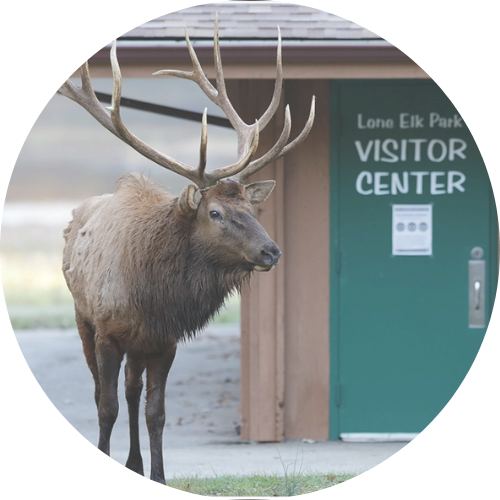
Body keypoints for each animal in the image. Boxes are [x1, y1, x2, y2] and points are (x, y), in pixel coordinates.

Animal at [59, 16, 315, 485]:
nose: (271, 252)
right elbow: (105, 408)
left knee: (133, 391)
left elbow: (156, 413)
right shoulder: (106, 330)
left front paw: (159, 474)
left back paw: (136, 462)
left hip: (138, 345)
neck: (149, 293)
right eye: (215, 212)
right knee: (106, 394)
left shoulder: (165, 339)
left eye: (252, 206)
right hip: (82, 317)